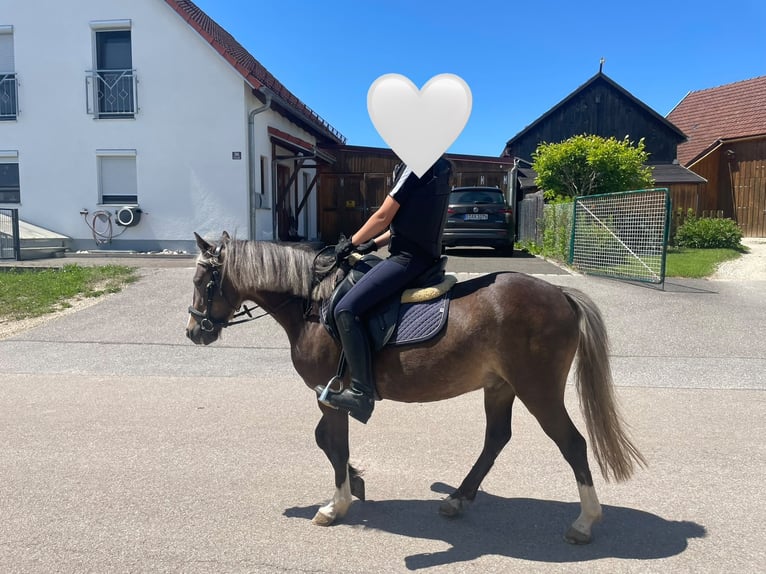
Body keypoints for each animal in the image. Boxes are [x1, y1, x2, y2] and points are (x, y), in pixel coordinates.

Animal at [185, 232, 646, 544]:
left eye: (203, 282)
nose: (194, 331)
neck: (313, 304)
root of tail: (561, 294)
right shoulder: (328, 397)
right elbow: (326, 442)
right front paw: (356, 483)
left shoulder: (331, 397)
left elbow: (334, 445)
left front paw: (337, 504)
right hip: (500, 386)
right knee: (496, 438)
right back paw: (458, 498)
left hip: (538, 389)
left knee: (572, 443)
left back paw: (584, 521)